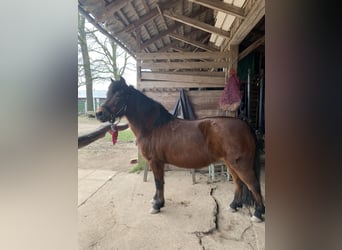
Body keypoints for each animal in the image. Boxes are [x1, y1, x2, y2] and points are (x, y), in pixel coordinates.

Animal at [95, 77, 266, 222]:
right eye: (108, 93)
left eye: (118, 95)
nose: (99, 114)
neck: (153, 126)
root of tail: (246, 125)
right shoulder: (156, 162)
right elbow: (158, 182)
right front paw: (156, 201)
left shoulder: (155, 161)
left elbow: (159, 182)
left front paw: (157, 205)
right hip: (230, 164)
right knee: (239, 183)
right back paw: (234, 206)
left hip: (241, 164)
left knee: (253, 185)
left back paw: (258, 213)